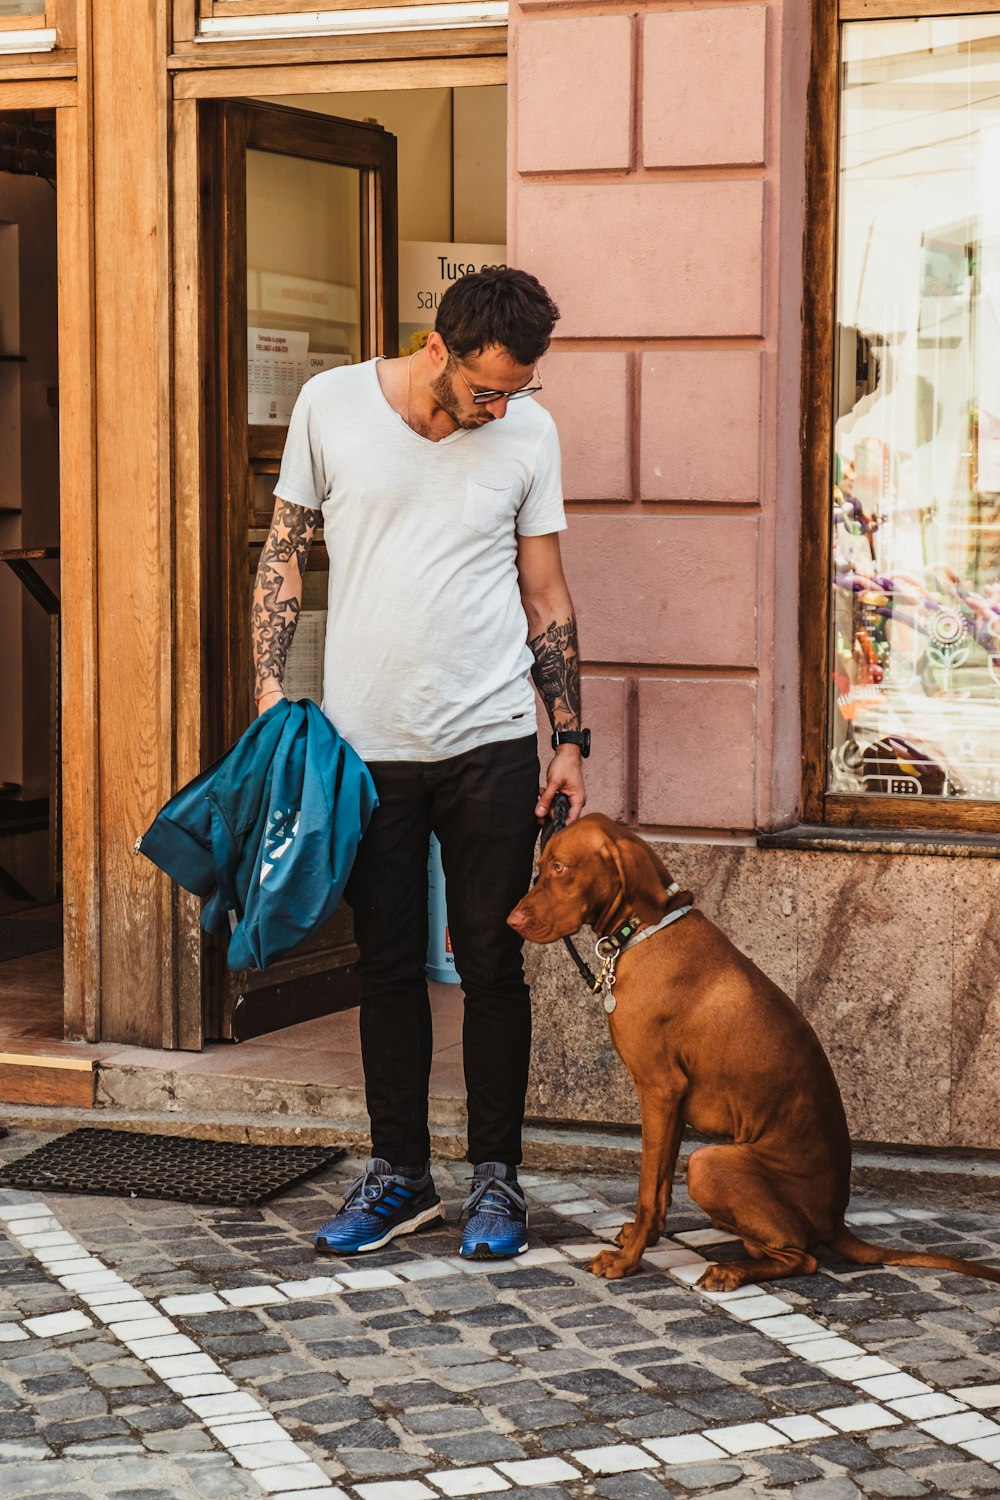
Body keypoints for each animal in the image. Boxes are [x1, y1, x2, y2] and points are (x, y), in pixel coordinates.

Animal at [509, 810, 1000, 1290]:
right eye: (542, 865)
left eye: (559, 868)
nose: (512, 921)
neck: (647, 928)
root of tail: (836, 1221)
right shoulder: (672, 1103)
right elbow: (660, 1185)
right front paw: (640, 1238)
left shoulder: (660, 1089)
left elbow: (647, 1190)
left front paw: (628, 1260)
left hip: (710, 1163)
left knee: (802, 1257)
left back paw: (732, 1271)